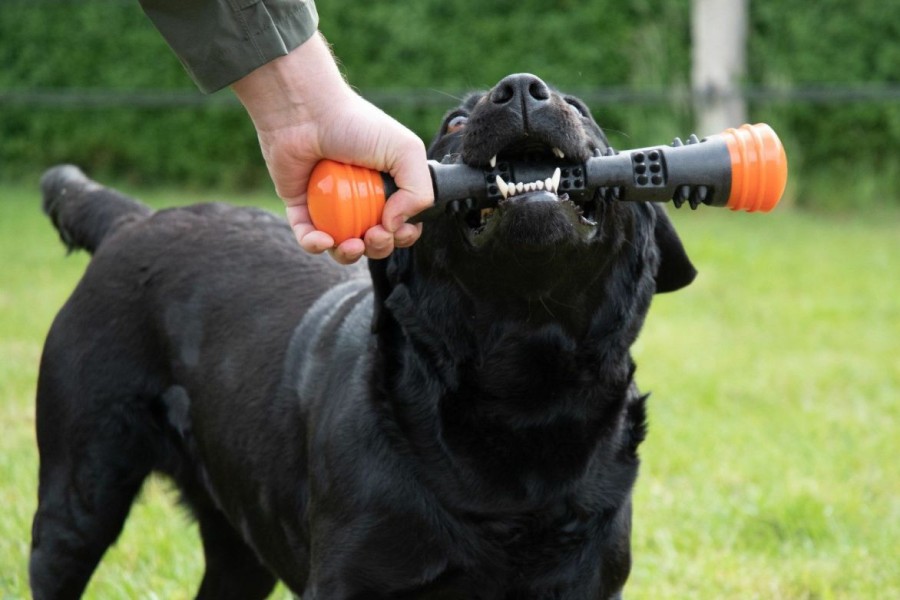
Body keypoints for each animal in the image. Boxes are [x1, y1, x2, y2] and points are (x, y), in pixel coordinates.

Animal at [31, 72, 696, 596]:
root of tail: (130, 219)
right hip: (78, 496)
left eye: (581, 110)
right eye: (456, 121)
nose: (520, 88)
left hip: (237, 540)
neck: (522, 396)